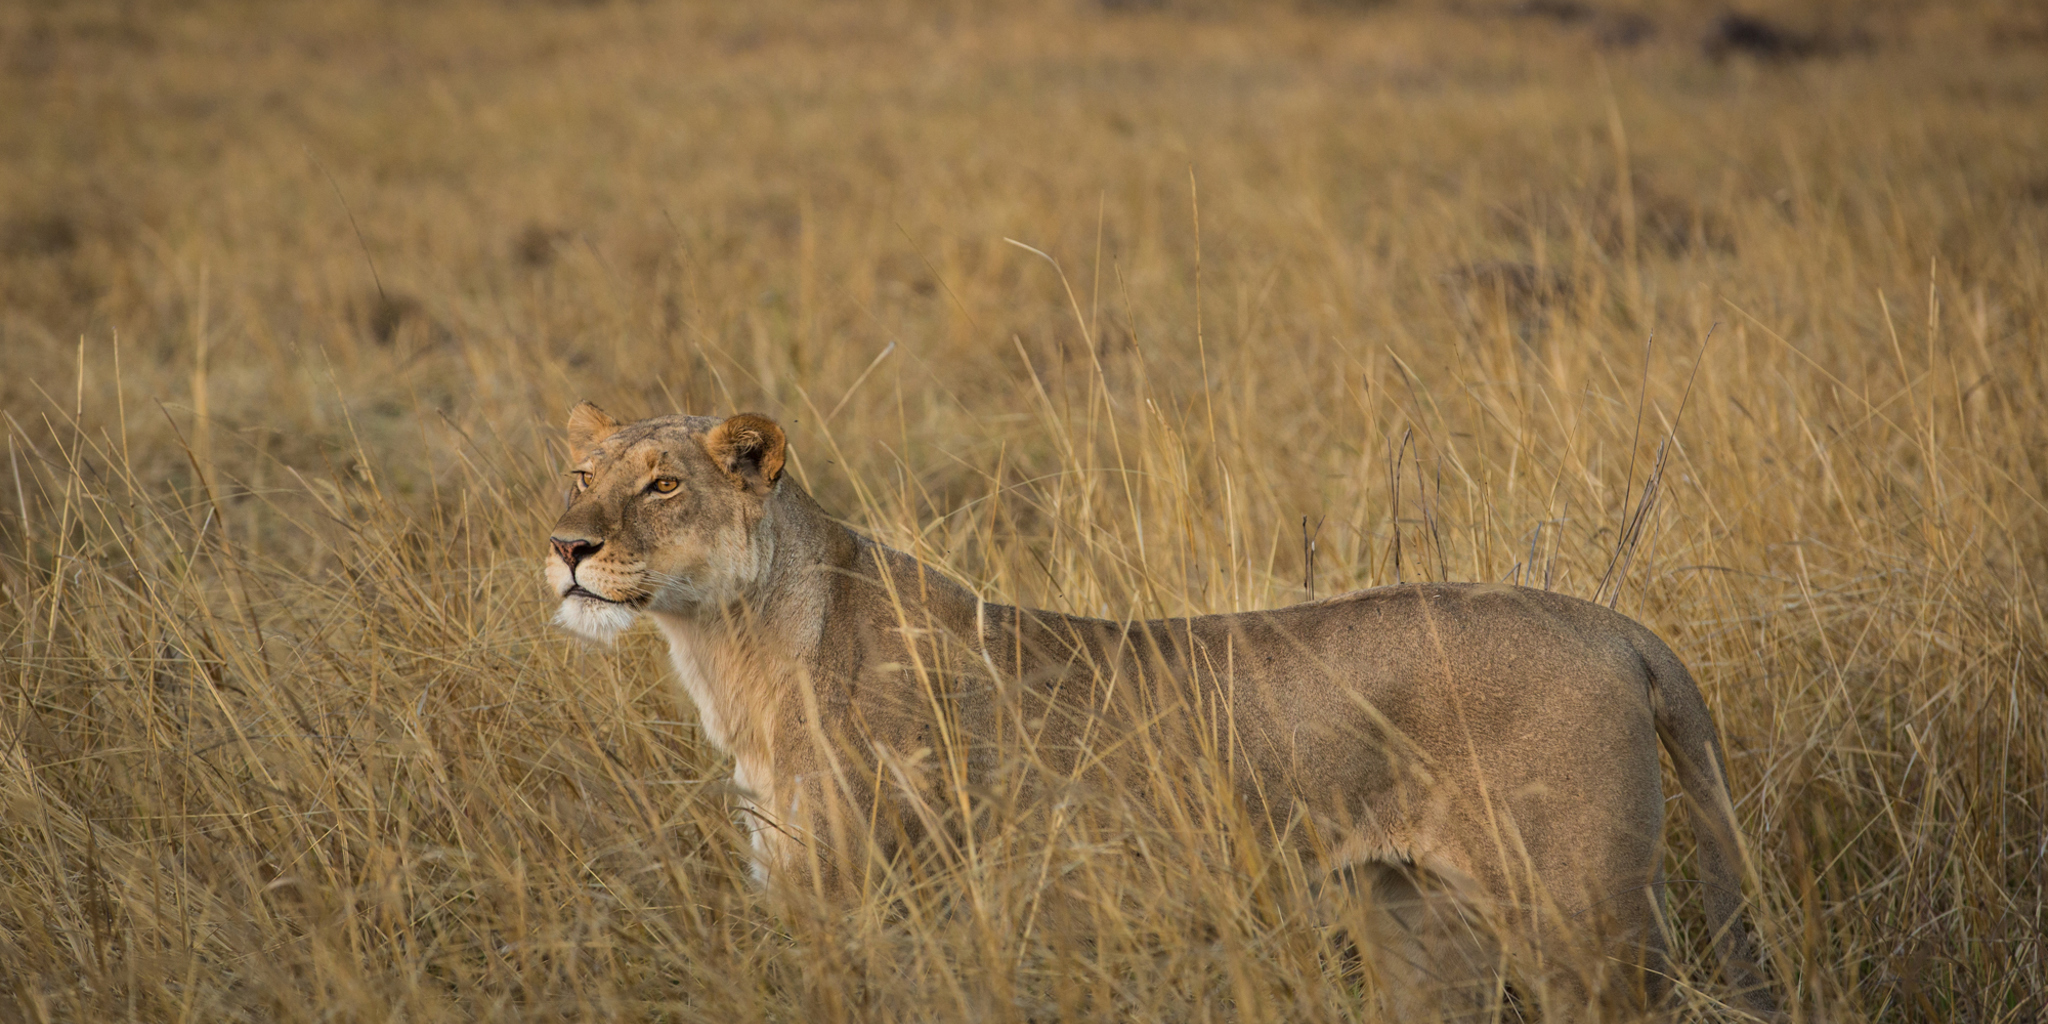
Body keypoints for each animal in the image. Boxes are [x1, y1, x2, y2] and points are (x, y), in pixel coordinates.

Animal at [545, 403, 1777, 1018]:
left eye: (663, 484)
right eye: (582, 476)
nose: (564, 547)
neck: (733, 649)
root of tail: (1611, 626)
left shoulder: (868, 908)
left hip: (1582, 924)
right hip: (1417, 927)